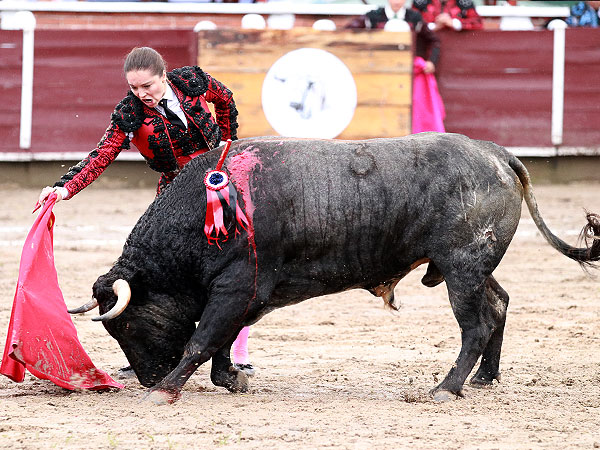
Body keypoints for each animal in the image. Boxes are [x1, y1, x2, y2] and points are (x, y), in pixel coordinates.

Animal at [68, 132, 600, 402]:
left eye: (125, 325)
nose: (147, 378)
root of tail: (499, 154)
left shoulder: (237, 286)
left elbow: (203, 338)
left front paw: (167, 392)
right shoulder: (245, 294)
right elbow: (218, 340)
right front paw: (232, 379)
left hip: (463, 269)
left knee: (476, 324)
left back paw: (445, 389)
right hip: (468, 267)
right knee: (500, 304)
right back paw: (485, 378)